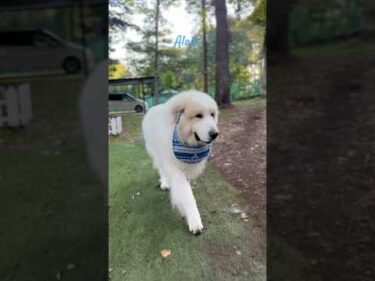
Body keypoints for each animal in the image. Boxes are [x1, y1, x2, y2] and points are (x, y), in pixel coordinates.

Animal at [143, 90, 220, 234]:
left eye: (212, 115)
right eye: (198, 116)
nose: (215, 134)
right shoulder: (174, 168)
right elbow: (186, 194)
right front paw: (194, 219)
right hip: (157, 153)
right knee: (161, 169)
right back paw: (165, 183)